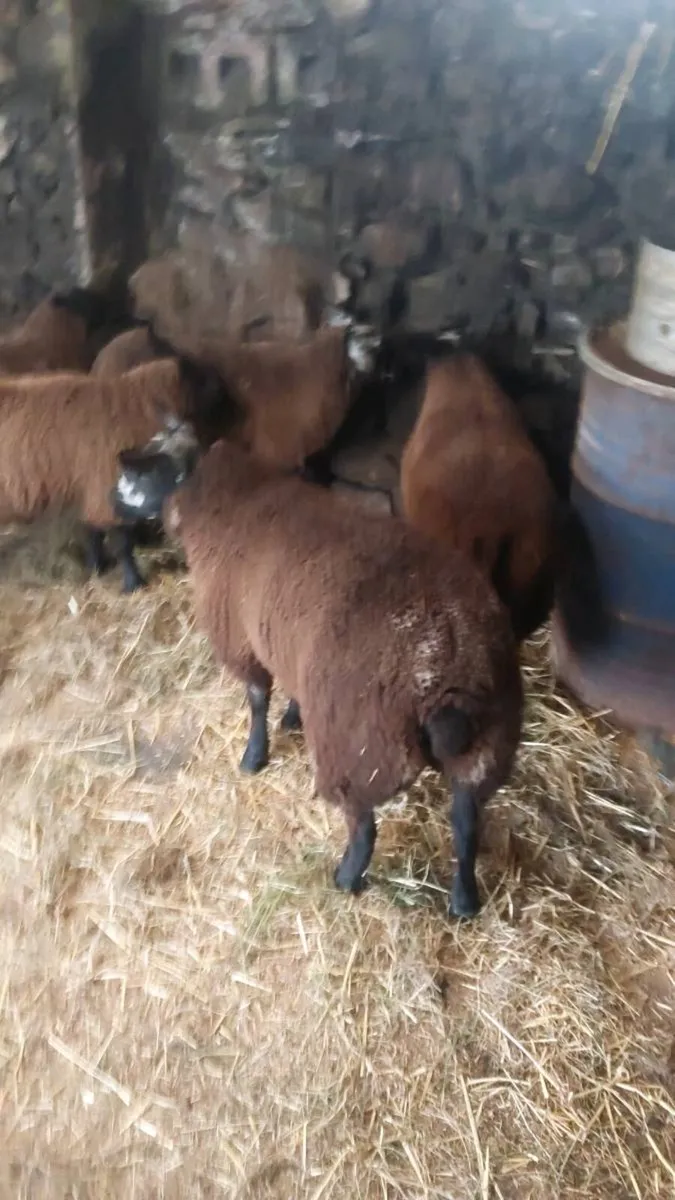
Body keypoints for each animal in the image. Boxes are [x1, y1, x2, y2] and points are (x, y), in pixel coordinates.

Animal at [0, 355, 233, 593]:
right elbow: (122, 543)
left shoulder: (93, 488)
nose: (223, 387)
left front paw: (96, 567)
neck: (131, 408)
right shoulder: (105, 486)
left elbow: (94, 532)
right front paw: (132, 583)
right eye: (196, 375)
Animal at [112, 419, 524, 919]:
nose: (111, 508)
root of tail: (448, 668)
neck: (222, 500)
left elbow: (256, 701)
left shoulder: (243, 641)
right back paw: (463, 901)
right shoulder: (285, 640)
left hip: (357, 747)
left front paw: (254, 756)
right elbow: (288, 689)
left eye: (141, 474)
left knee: (364, 827)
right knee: (466, 823)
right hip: (487, 745)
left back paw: (345, 878)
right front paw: (291, 716)